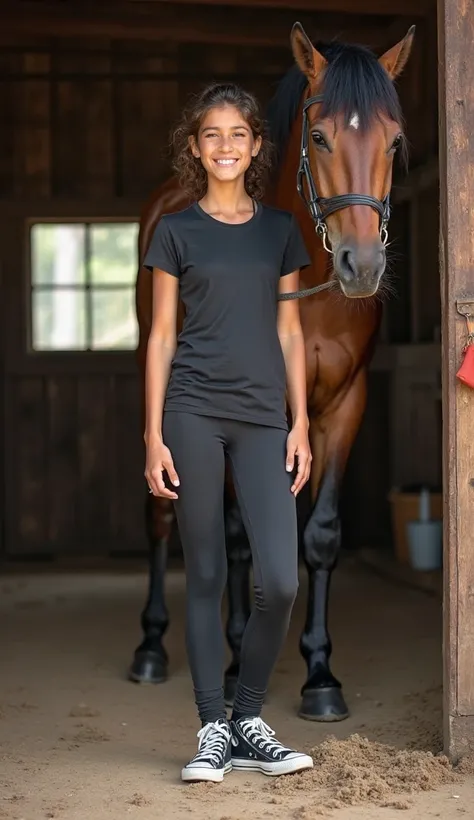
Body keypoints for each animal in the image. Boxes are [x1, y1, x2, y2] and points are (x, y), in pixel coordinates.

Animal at [130, 22, 414, 720]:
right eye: (320, 137)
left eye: (395, 141)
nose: (362, 266)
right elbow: (241, 537)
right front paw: (238, 658)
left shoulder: (342, 407)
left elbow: (319, 536)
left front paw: (320, 675)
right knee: (168, 518)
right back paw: (155, 646)